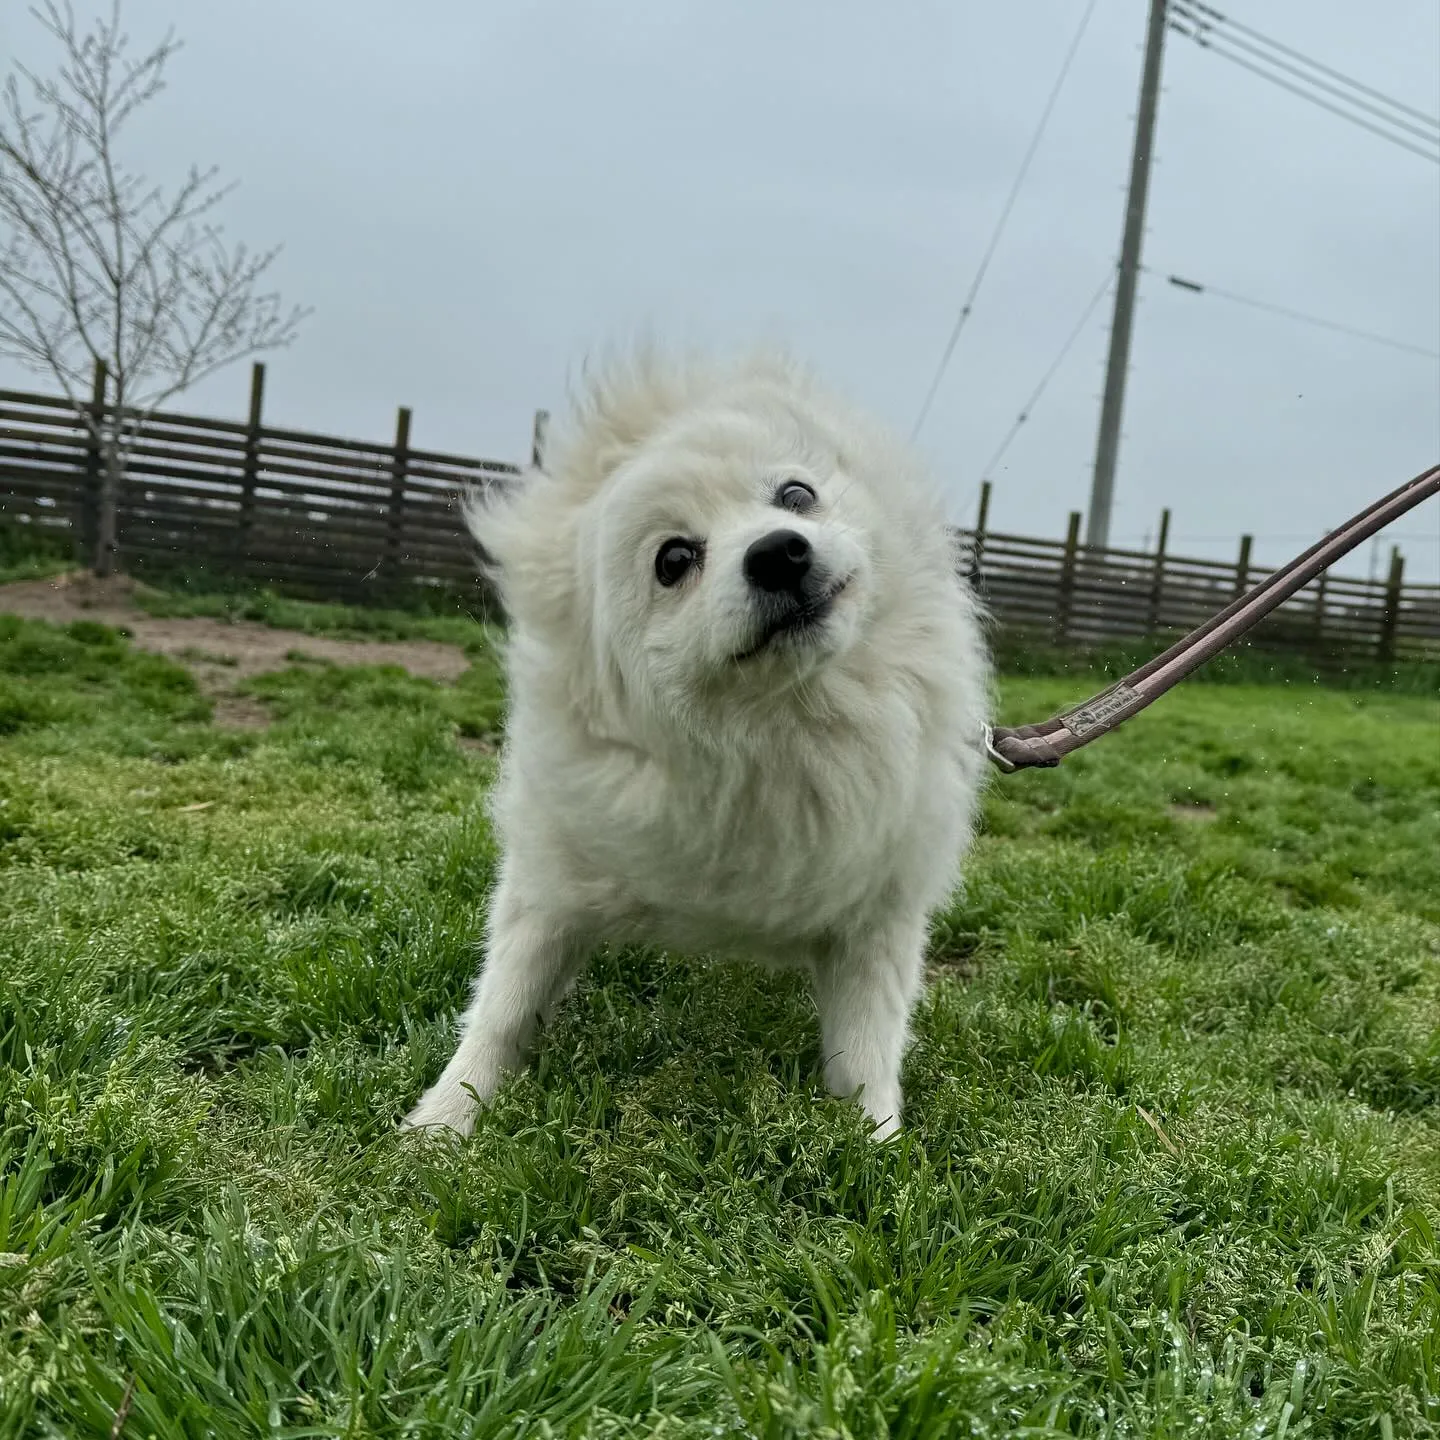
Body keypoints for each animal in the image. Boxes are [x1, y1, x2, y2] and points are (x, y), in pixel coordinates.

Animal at [406, 348, 990, 1134]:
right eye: (675, 559)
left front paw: (875, 1145)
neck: (778, 731)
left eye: (797, 494)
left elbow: (868, 1049)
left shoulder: (876, 918)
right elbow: (503, 1007)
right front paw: (444, 1120)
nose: (779, 552)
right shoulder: (550, 884)